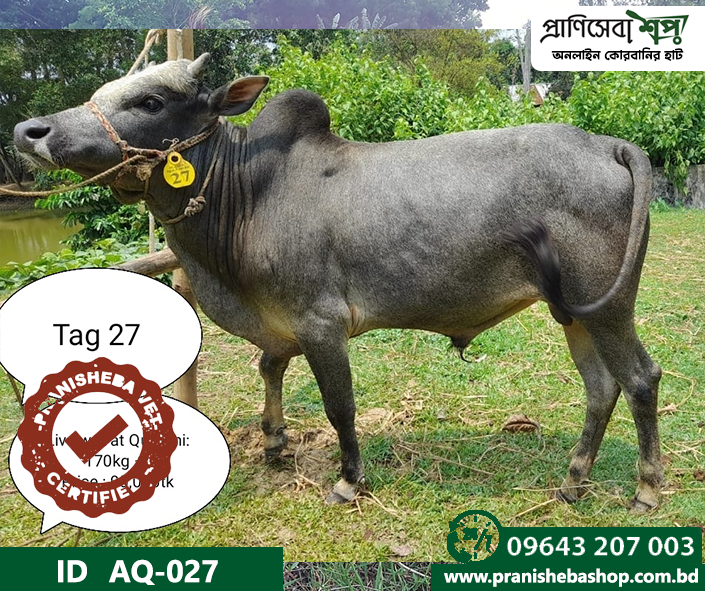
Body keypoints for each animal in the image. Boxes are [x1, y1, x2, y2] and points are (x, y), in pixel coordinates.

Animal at [13, 53, 662, 510]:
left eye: (150, 100)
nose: (30, 132)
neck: (248, 194)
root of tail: (609, 144)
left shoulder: (321, 323)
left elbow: (340, 406)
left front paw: (350, 481)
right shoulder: (280, 323)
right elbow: (270, 367)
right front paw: (275, 443)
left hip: (606, 306)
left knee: (639, 378)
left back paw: (647, 489)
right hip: (572, 311)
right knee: (601, 388)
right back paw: (573, 483)